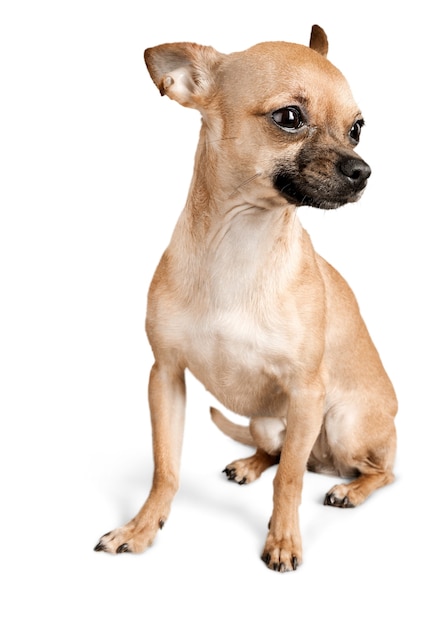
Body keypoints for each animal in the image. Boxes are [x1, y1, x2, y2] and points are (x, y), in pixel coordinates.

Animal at [96, 24, 398, 572]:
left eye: (358, 128)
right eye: (290, 118)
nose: (363, 170)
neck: (241, 243)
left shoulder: (306, 393)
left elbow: (290, 481)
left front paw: (283, 540)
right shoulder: (165, 377)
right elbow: (165, 467)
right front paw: (142, 528)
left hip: (341, 422)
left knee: (374, 470)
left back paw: (351, 490)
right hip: (266, 423)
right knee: (281, 453)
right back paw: (250, 463)